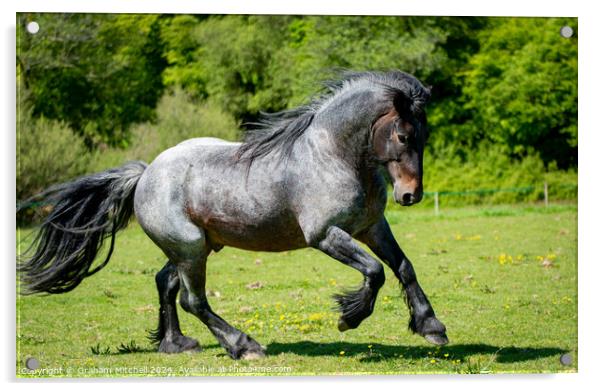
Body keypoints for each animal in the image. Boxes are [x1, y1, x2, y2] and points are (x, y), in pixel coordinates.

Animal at [17, 71, 446, 362]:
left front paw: (431, 327)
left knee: (165, 284)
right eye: (404, 135)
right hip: (190, 248)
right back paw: (244, 344)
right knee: (193, 300)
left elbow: (403, 267)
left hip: (195, 248)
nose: (410, 195)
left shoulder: (372, 227)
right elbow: (374, 271)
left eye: (424, 135)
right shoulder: (325, 235)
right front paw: (348, 319)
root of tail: (145, 173)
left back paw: (176, 344)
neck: (333, 156)